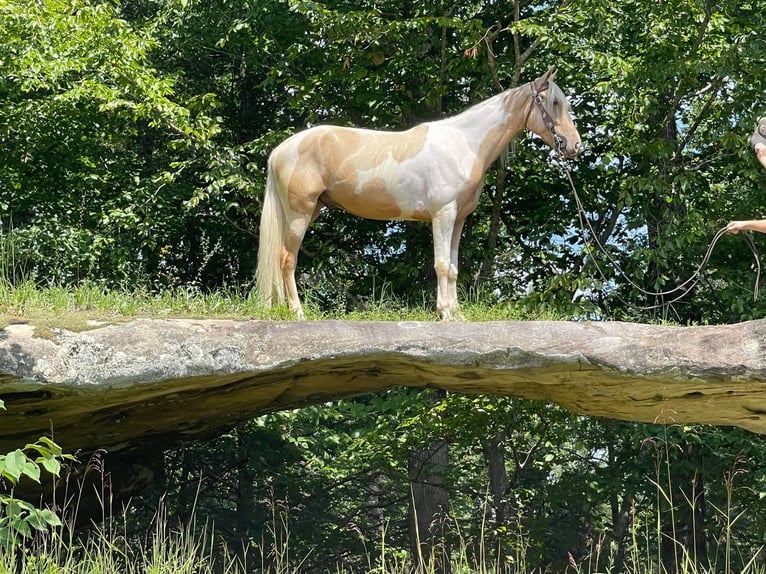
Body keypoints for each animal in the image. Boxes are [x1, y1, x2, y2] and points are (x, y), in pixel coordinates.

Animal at [256, 68, 584, 322]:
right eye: (554, 102)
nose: (574, 145)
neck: (463, 144)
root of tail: (280, 150)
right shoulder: (443, 215)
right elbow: (441, 264)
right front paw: (445, 312)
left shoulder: (458, 219)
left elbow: (453, 268)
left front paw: (456, 313)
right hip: (299, 213)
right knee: (287, 258)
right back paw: (298, 312)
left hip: (309, 211)